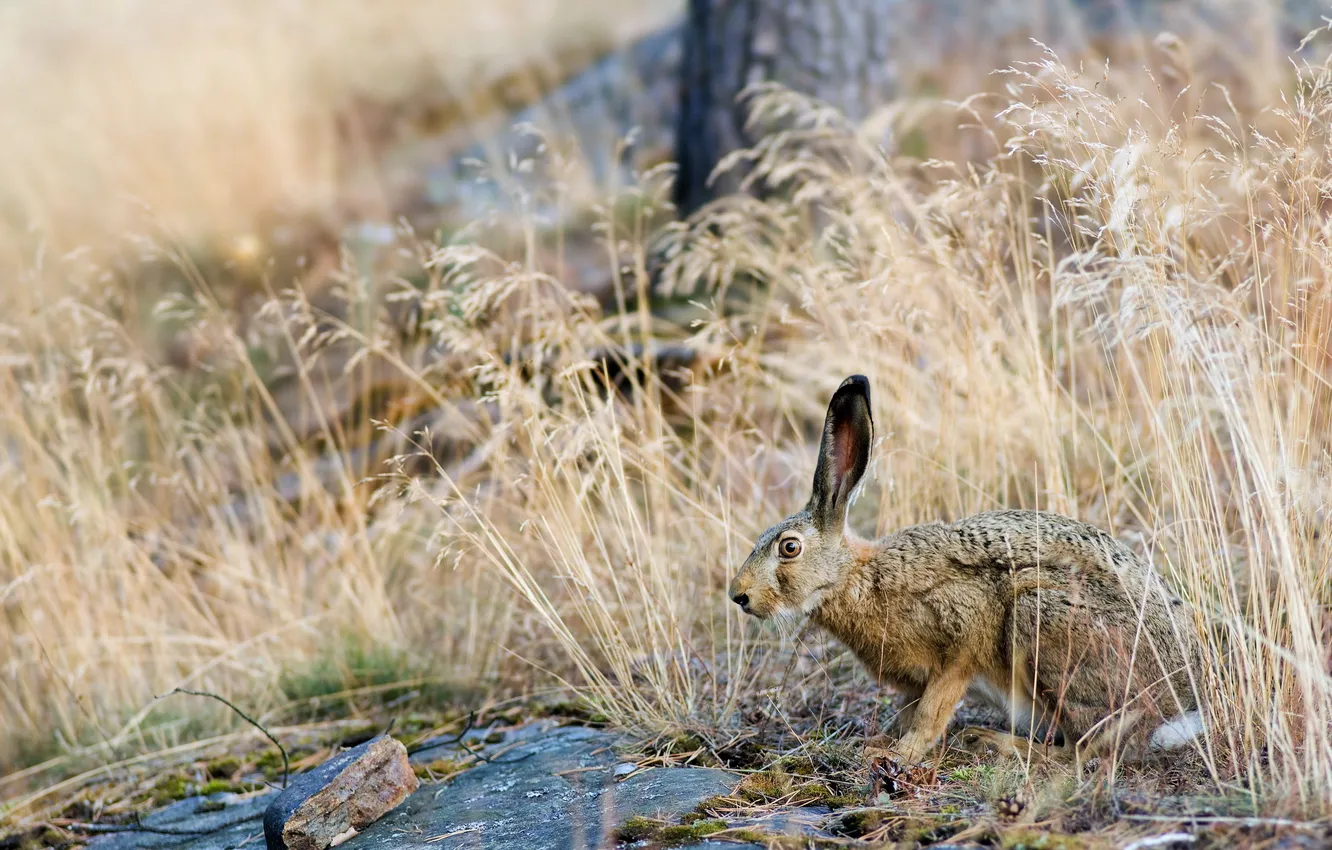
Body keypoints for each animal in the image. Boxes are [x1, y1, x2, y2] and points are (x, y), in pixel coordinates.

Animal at [728, 375, 1203, 764]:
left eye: (789, 548)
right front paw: (880, 741)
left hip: (1042, 621)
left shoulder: (962, 643)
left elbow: (932, 711)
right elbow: (910, 710)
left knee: (1086, 750)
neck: (858, 577)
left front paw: (897, 754)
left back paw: (992, 741)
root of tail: (1179, 707)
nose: (739, 596)